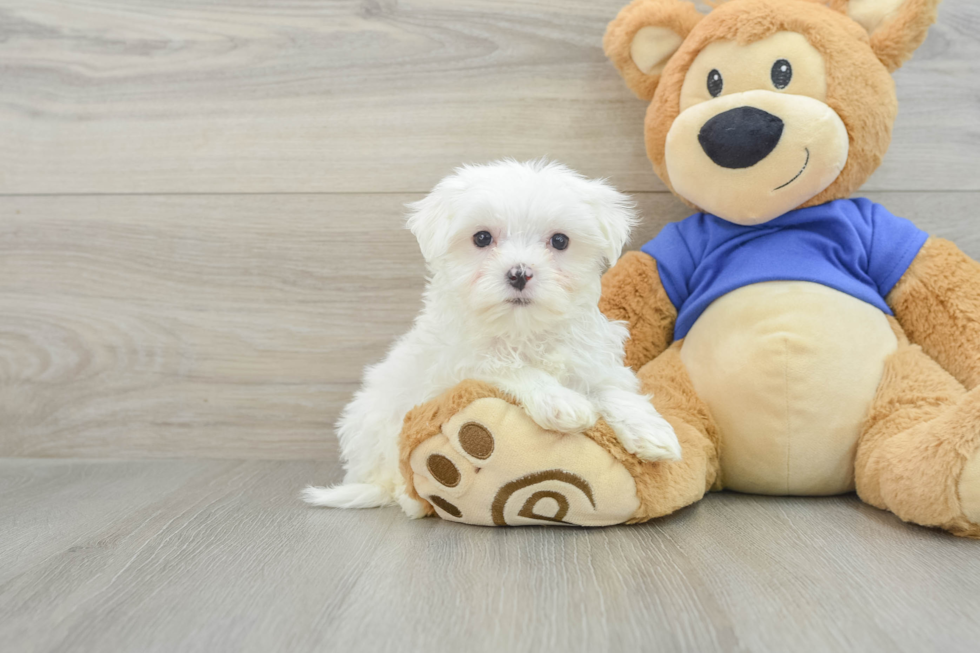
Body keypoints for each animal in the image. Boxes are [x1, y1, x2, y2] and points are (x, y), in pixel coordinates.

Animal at [306, 158, 680, 516]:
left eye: (560, 241)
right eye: (482, 238)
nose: (519, 273)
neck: (522, 329)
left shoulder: (588, 359)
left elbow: (611, 389)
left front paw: (651, 431)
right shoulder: (457, 367)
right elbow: (510, 368)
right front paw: (562, 403)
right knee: (393, 477)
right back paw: (407, 498)